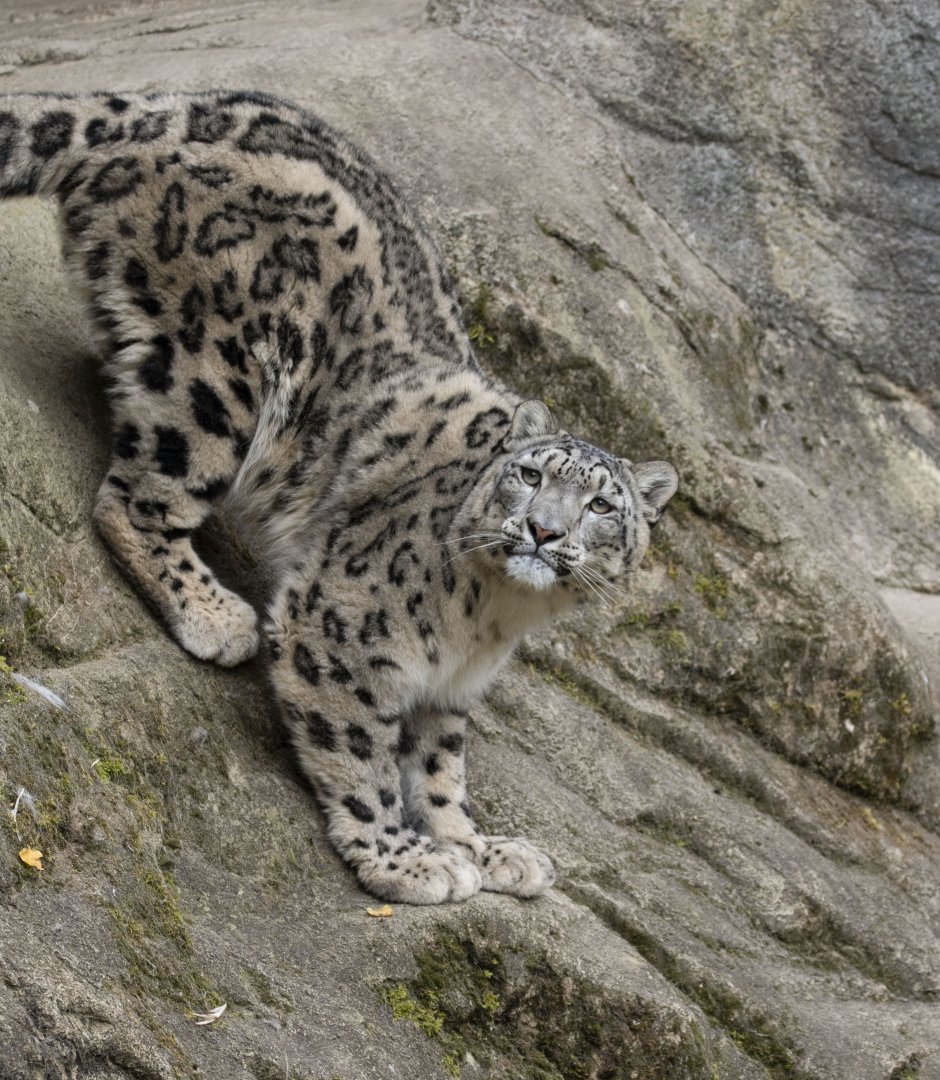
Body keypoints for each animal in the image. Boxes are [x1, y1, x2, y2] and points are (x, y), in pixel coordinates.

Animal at [0, 91, 678, 904]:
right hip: (216, 380)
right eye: (532, 477)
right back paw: (215, 614)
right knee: (136, 497)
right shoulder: (339, 629)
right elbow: (361, 753)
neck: (494, 617)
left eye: (602, 507)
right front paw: (407, 859)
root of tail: (169, 106)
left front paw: (480, 847)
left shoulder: (448, 692)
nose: (543, 532)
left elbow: (439, 770)